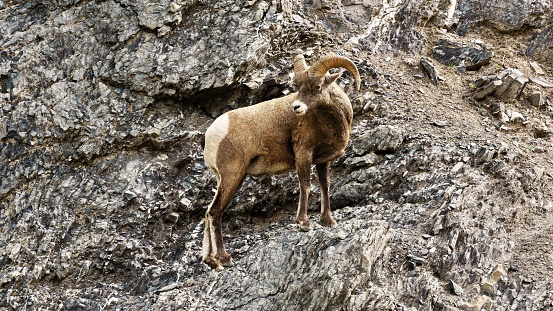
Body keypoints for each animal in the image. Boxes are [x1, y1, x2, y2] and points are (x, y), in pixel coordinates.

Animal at [201, 53, 360, 270]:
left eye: (317, 86)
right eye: (298, 86)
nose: (296, 107)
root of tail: (210, 135)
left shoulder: (322, 161)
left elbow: (325, 186)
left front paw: (328, 220)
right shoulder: (303, 154)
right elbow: (306, 186)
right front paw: (304, 223)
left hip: (222, 179)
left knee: (208, 212)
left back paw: (211, 261)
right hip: (232, 176)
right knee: (215, 212)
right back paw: (225, 259)